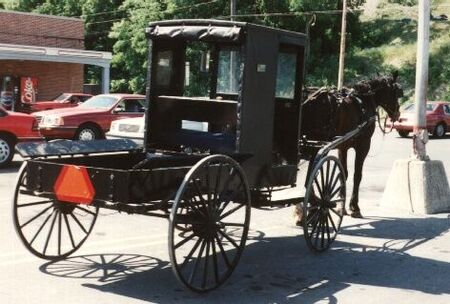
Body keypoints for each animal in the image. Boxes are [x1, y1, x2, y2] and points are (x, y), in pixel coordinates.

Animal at [298, 72, 404, 217]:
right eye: (395, 92)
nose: (397, 114)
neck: (364, 101)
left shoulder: (342, 147)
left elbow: (344, 173)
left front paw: (341, 206)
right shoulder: (363, 146)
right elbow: (357, 175)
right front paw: (354, 207)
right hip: (315, 146)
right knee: (311, 175)